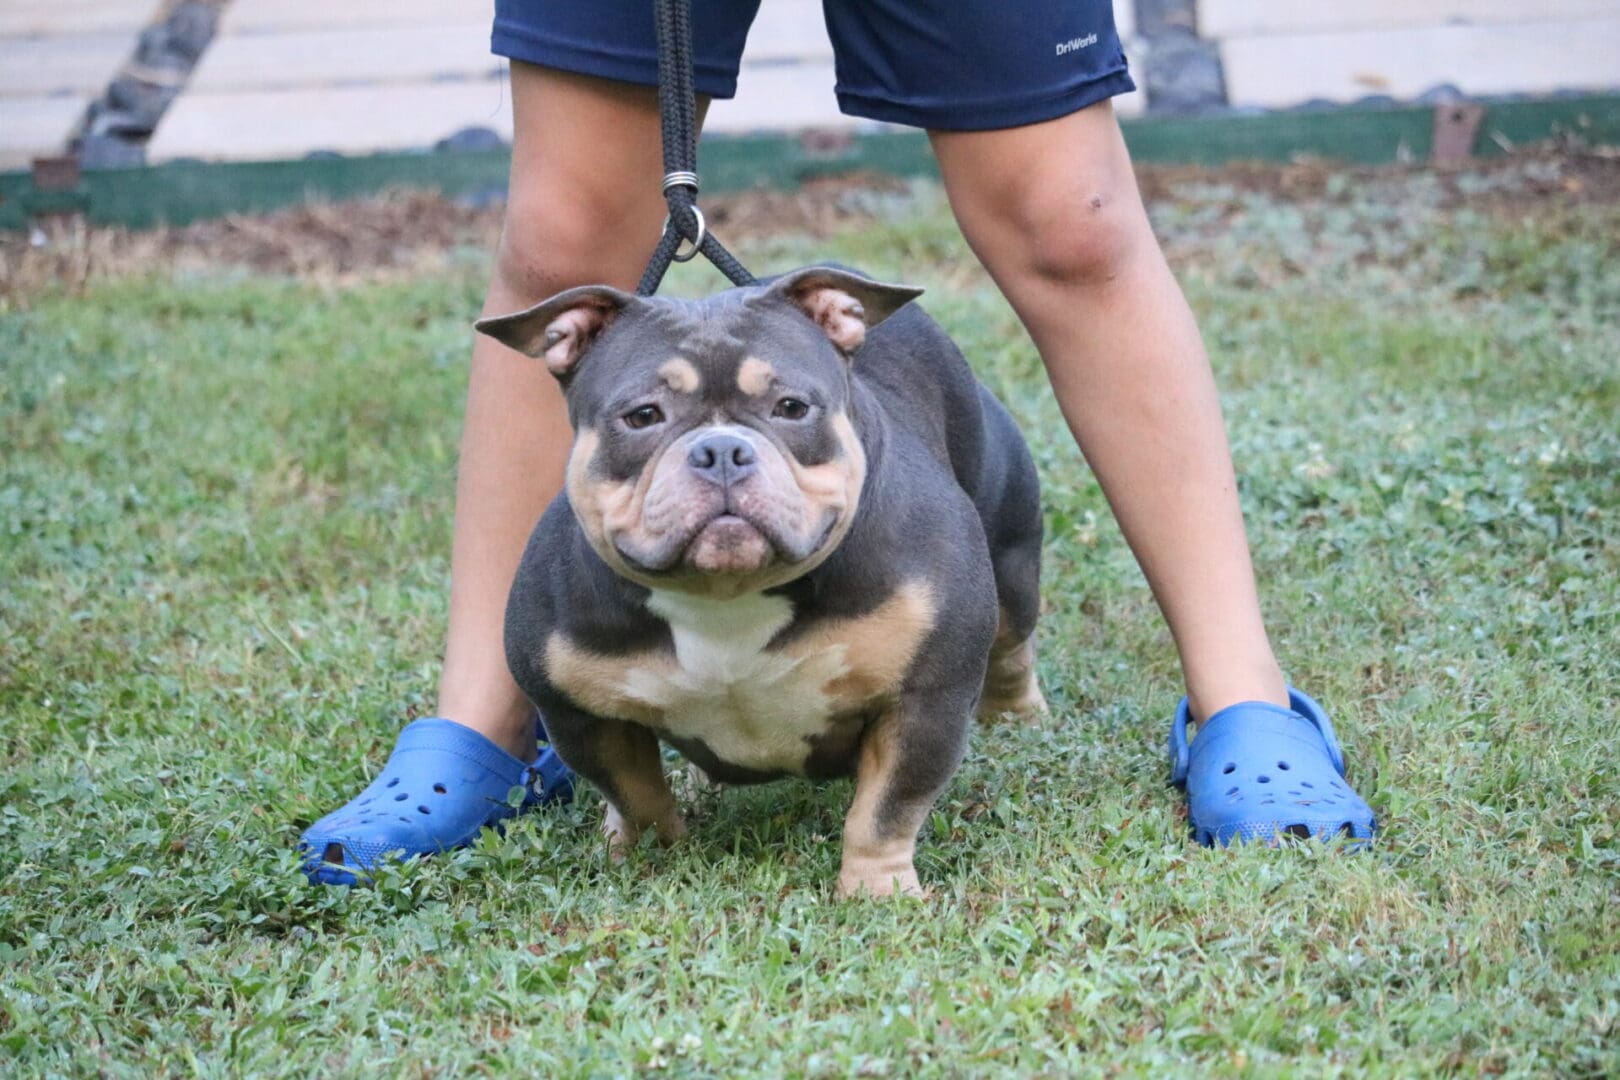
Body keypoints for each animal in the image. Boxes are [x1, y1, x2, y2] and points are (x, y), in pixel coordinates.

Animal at [473, 265, 1043, 900]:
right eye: (643, 416)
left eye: (791, 407)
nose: (721, 448)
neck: (726, 595)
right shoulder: (580, 715)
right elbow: (635, 793)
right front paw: (653, 858)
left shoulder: (925, 698)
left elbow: (887, 808)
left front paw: (878, 892)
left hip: (1011, 559)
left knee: (1012, 645)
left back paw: (1018, 715)